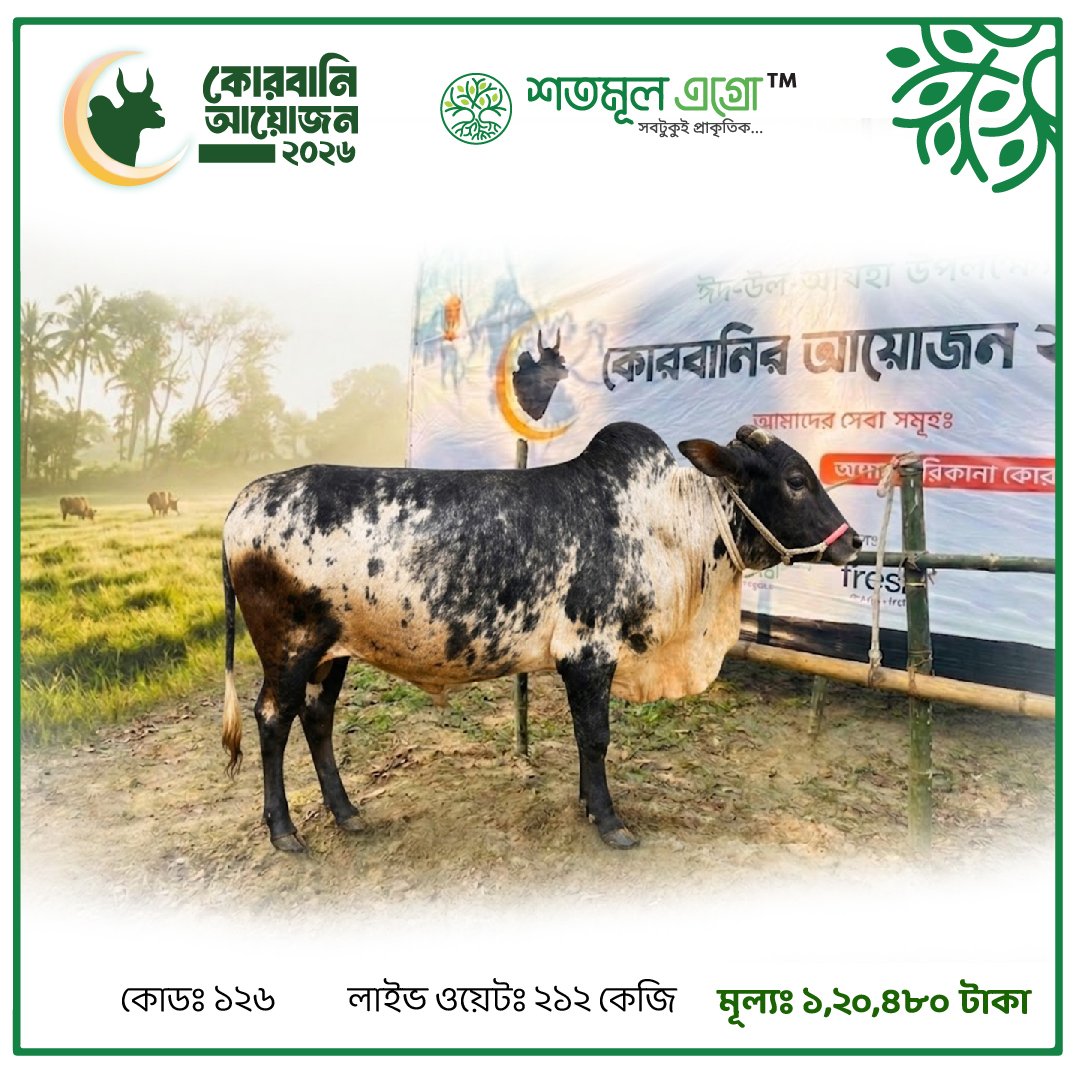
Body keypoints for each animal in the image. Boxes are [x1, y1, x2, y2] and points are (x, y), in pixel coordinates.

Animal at [221, 422, 861, 853]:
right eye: (796, 480)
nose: (852, 542)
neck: (669, 524)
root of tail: (241, 505)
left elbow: (584, 737)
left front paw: (586, 805)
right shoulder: (589, 651)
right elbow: (597, 736)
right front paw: (611, 822)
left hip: (332, 654)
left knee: (317, 719)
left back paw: (347, 813)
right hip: (290, 649)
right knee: (272, 720)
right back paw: (285, 831)